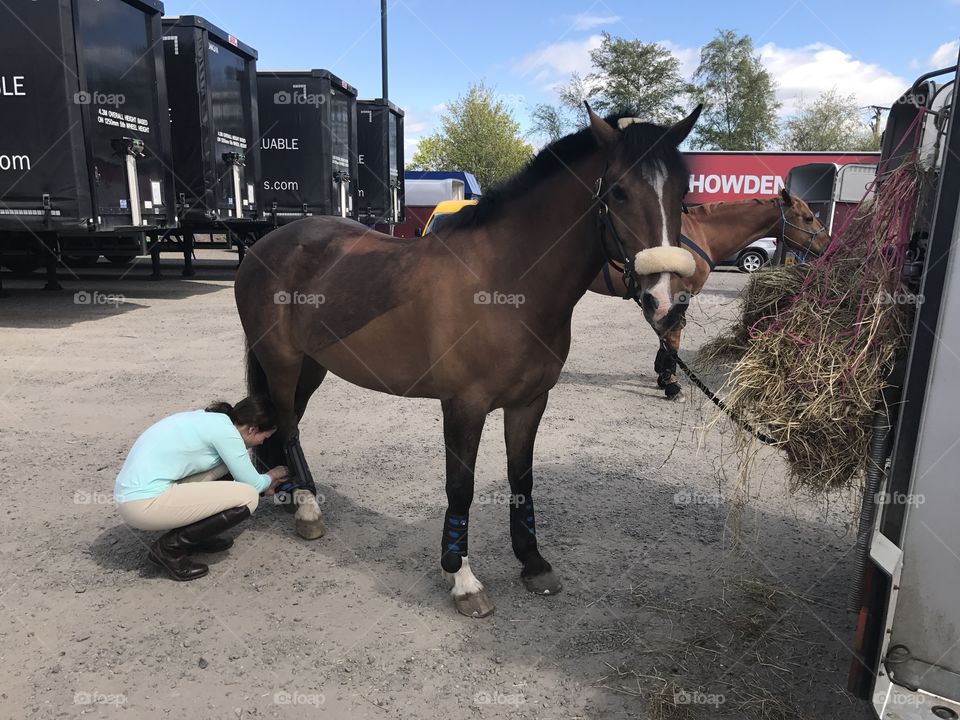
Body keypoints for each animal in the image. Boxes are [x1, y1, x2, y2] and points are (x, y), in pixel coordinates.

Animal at [232, 104, 696, 616]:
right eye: (618, 192)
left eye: (682, 193)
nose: (667, 303)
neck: (507, 283)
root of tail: (267, 244)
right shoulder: (463, 407)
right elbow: (461, 488)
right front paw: (463, 579)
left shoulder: (529, 403)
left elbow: (521, 478)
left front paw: (533, 563)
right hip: (282, 361)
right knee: (289, 425)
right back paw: (308, 508)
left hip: (312, 365)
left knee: (288, 421)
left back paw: (293, 494)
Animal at [588, 191, 828, 400]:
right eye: (808, 218)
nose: (827, 244)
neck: (700, 233)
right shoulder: (677, 295)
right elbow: (672, 338)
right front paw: (672, 385)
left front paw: (663, 377)